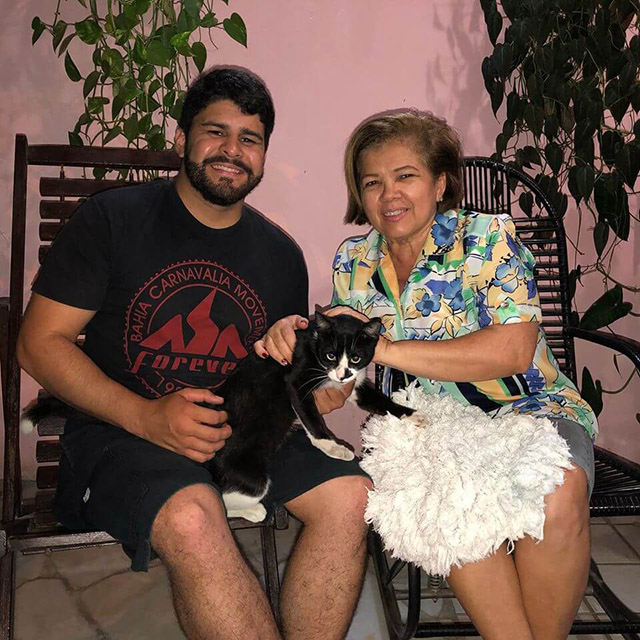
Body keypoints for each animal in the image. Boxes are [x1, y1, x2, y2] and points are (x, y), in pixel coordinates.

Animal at [22, 312, 413, 523]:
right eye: (331, 355)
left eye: (357, 358)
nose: (343, 373)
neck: (312, 344)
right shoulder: (296, 376)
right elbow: (312, 419)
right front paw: (335, 448)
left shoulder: (354, 385)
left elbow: (376, 400)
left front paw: (413, 416)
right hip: (250, 473)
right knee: (222, 497)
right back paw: (254, 511)